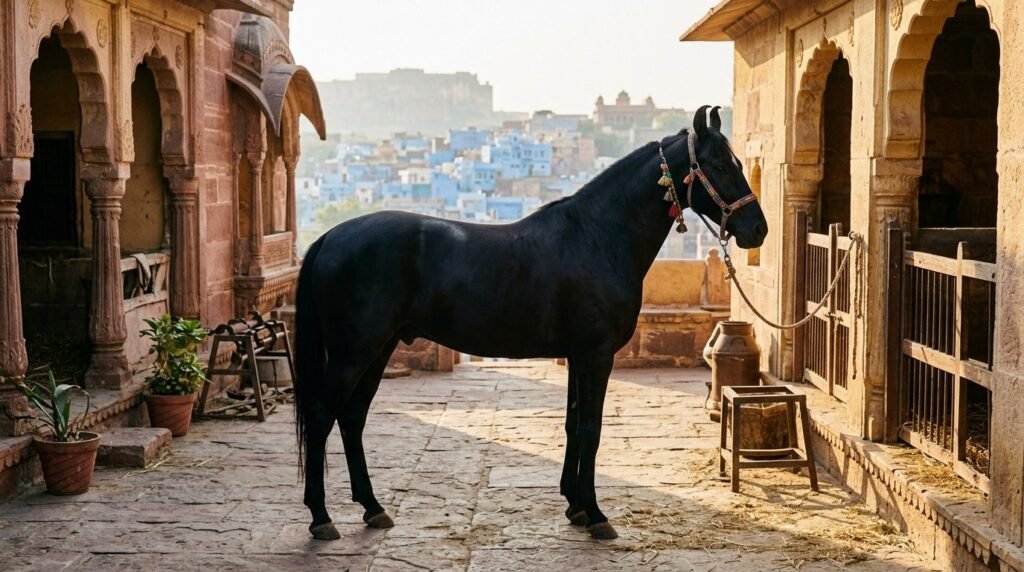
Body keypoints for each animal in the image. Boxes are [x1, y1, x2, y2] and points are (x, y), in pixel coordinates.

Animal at [293, 105, 768, 541]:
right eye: (720, 164)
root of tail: (328, 238)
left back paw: (372, 507)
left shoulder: (578, 355)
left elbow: (574, 424)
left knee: (352, 417)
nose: (758, 229)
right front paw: (596, 515)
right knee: (322, 415)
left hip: (379, 347)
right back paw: (321, 517)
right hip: (354, 352)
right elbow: (591, 429)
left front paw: (575, 506)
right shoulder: (596, 355)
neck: (597, 236)